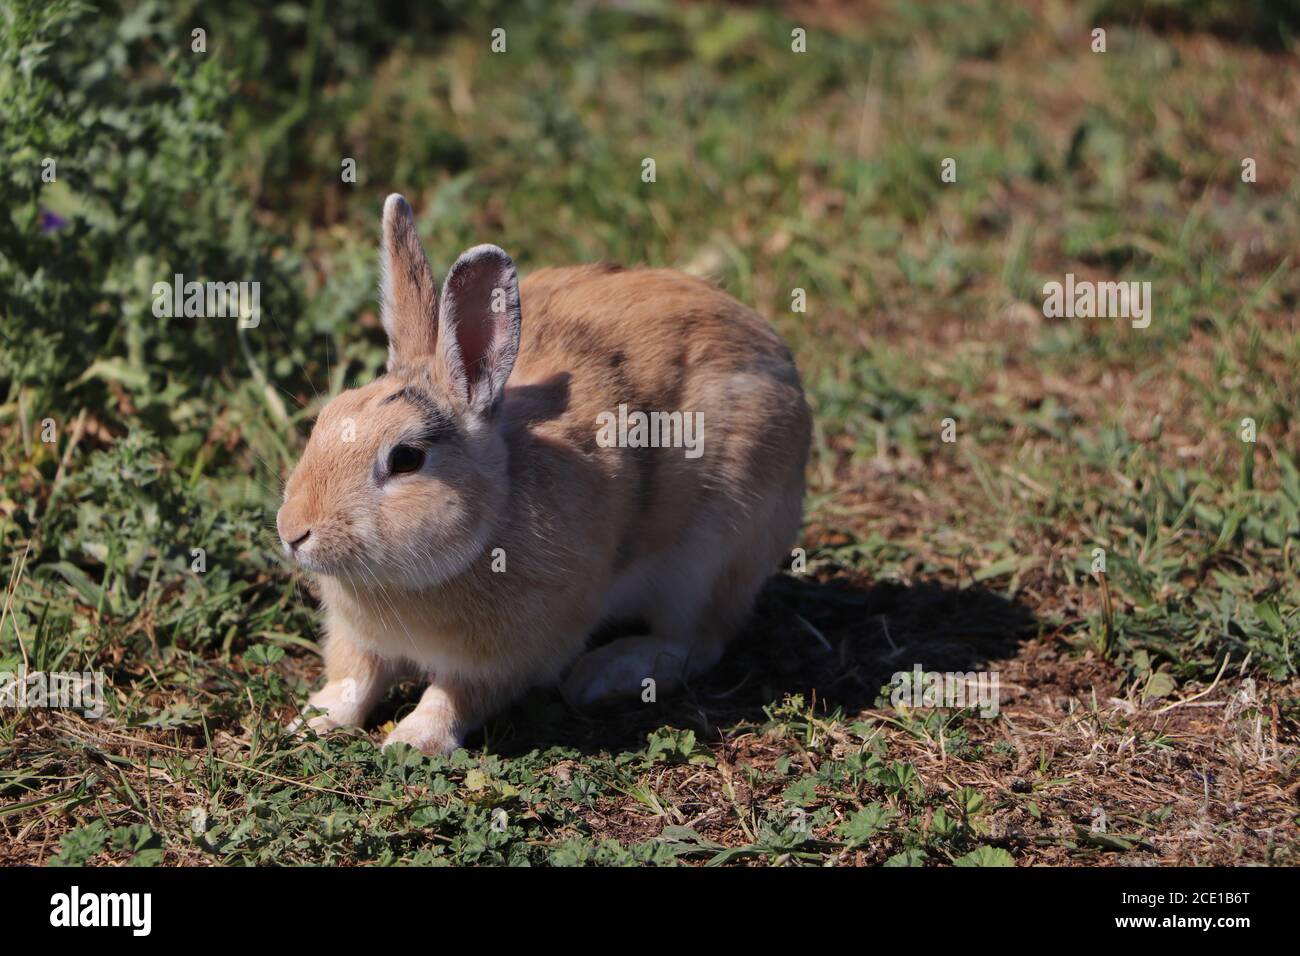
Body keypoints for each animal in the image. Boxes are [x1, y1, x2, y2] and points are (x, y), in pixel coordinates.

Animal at [278, 191, 806, 749]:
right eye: (325, 419)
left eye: (406, 459)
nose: (293, 532)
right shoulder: (357, 641)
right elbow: (352, 680)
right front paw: (311, 721)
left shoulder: (504, 658)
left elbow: (453, 698)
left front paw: (411, 741)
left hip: (709, 560)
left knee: (698, 641)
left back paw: (605, 674)